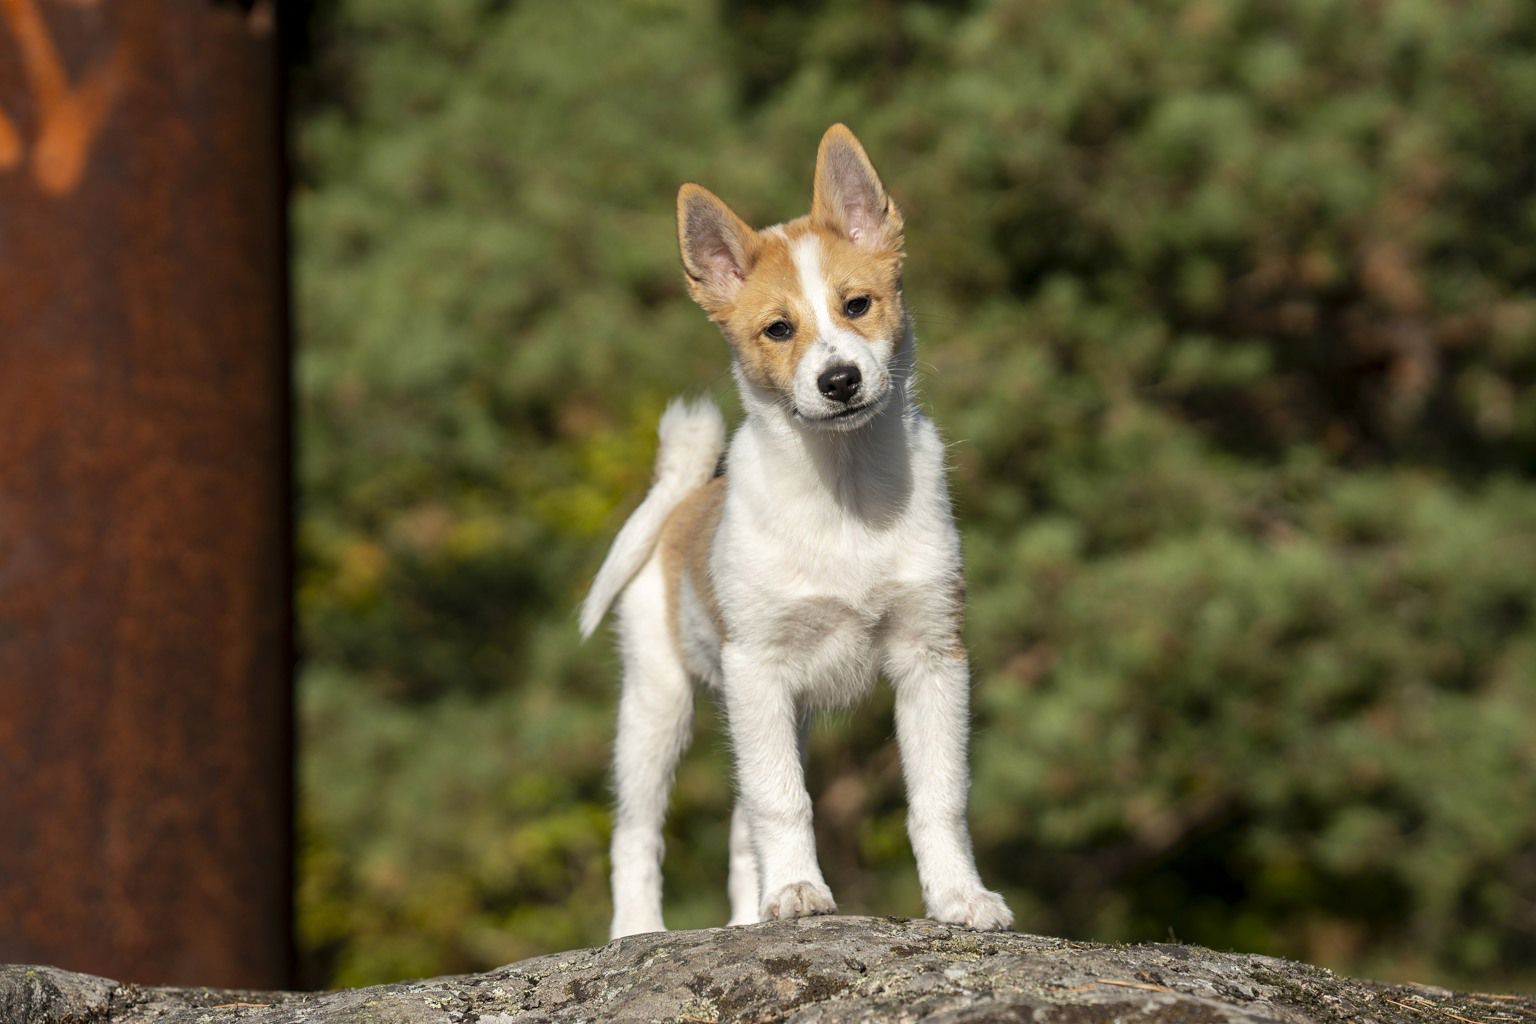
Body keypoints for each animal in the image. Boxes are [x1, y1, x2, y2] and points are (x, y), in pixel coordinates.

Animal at [580, 124, 1013, 939]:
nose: (839, 381)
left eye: (858, 305)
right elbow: (784, 800)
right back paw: (638, 931)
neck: (844, 497)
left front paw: (958, 898)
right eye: (778, 329)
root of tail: (686, 500)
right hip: (659, 702)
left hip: (783, 713)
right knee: (638, 831)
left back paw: (748, 918)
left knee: (740, 826)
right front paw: (799, 893)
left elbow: (939, 797)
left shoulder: (933, 657)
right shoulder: (758, 667)